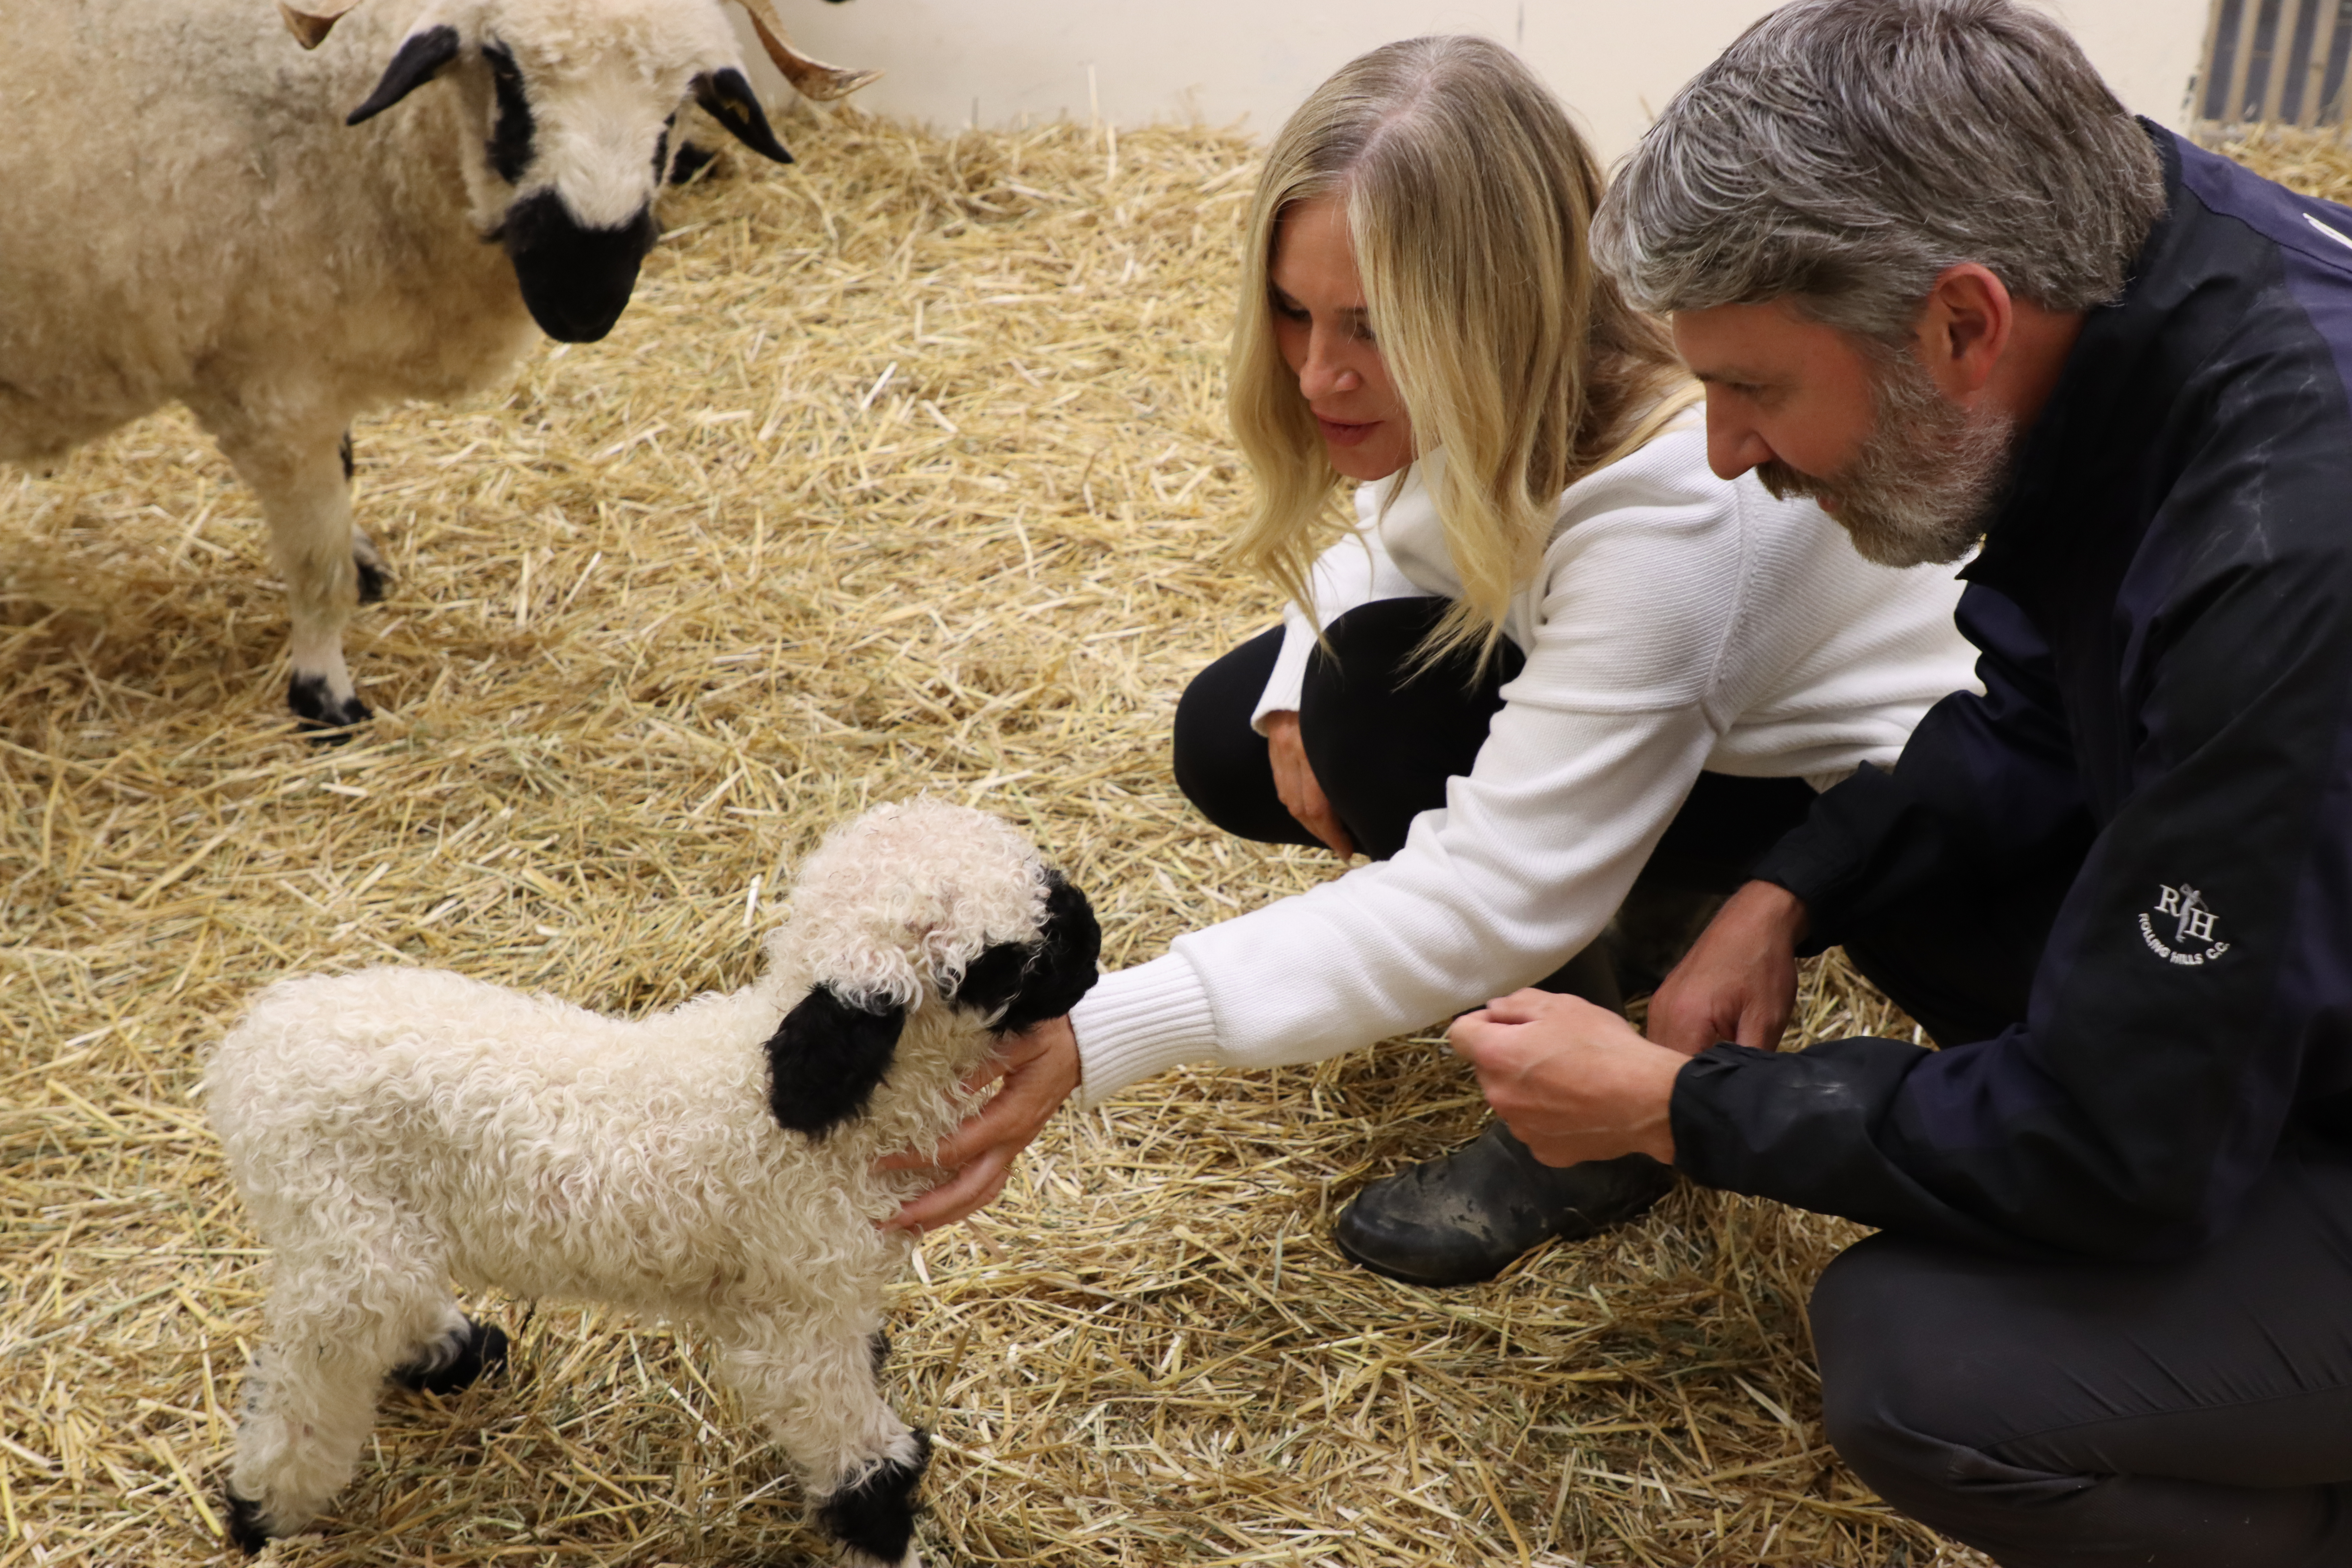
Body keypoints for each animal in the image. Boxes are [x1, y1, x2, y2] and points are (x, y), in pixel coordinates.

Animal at [0, 0, 874, 731]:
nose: (584, 295)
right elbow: (315, 563)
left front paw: (365, 568)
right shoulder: (272, 390)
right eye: (507, 73)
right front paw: (325, 694)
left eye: (680, 103)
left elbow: (345, 482)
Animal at [202, 797, 1101, 1565]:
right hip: (339, 1226)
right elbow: (862, 1461)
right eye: (993, 965)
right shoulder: (794, 1326)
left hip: (362, 1230)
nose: (1092, 944)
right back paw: (262, 1508)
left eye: (1045, 879)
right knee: (307, 1377)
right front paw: (889, 1536)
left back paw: (456, 1350)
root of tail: (249, 1045)